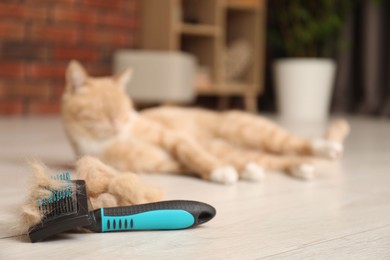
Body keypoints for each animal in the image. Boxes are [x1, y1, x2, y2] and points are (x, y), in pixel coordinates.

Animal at [61, 60, 350, 185]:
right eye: (101, 109)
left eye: (124, 108)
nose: (117, 122)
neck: (111, 139)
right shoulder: (158, 163)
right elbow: (188, 165)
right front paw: (225, 171)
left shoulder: (174, 139)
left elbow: (193, 154)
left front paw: (219, 170)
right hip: (238, 148)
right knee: (273, 159)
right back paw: (295, 168)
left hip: (249, 130)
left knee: (295, 143)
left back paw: (327, 148)